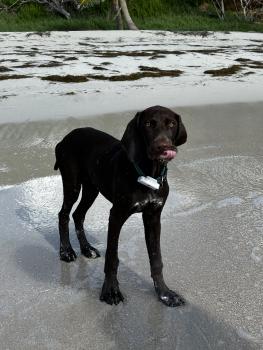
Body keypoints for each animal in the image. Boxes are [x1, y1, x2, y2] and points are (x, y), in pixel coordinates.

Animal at [54, 106, 188, 306]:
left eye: (171, 124)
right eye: (148, 124)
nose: (162, 147)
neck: (148, 172)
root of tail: (64, 138)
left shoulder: (153, 217)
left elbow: (156, 258)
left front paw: (164, 293)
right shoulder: (116, 215)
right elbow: (112, 257)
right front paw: (110, 291)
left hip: (92, 188)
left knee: (78, 215)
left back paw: (87, 249)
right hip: (72, 184)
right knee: (63, 214)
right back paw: (66, 252)